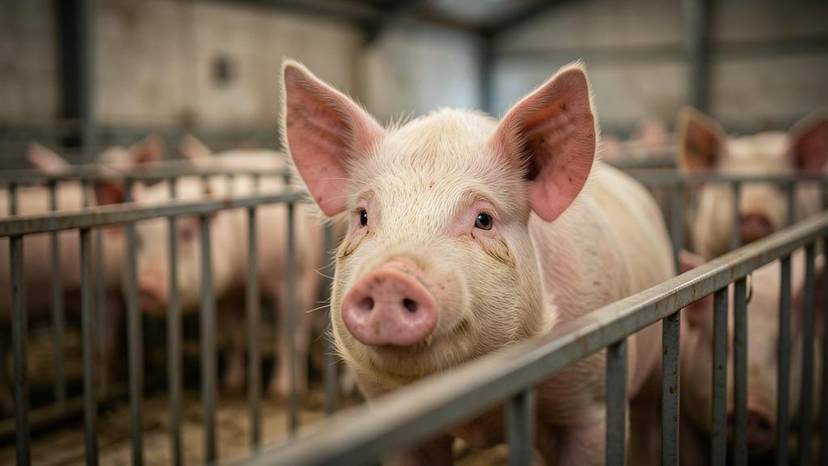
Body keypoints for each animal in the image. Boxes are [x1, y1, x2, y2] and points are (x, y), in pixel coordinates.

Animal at [126, 150, 325, 399]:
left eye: (187, 233)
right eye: (139, 238)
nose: (147, 286)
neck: (242, 275)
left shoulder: (294, 276)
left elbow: (288, 335)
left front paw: (281, 392)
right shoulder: (226, 296)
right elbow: (232, 336)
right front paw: (230, 385)